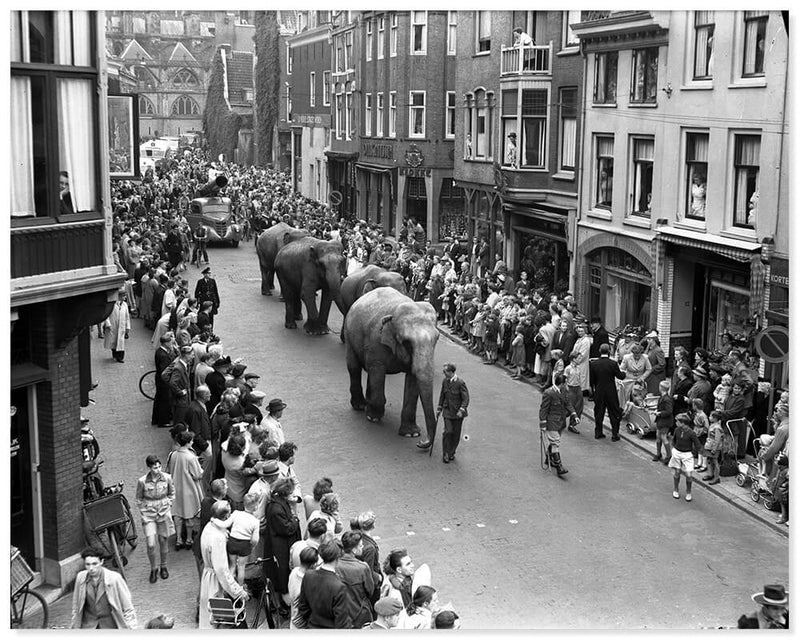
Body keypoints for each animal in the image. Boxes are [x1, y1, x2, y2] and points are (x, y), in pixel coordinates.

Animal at [342, 286, 438, 440]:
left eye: (436, 339)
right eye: (407, 342)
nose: (422, 442)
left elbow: (413, 378)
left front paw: (411, 433)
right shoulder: (376, 340)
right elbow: (377, 370)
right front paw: (373, 417)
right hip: (349, 333)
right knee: (354, 367)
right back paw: (360, 406)